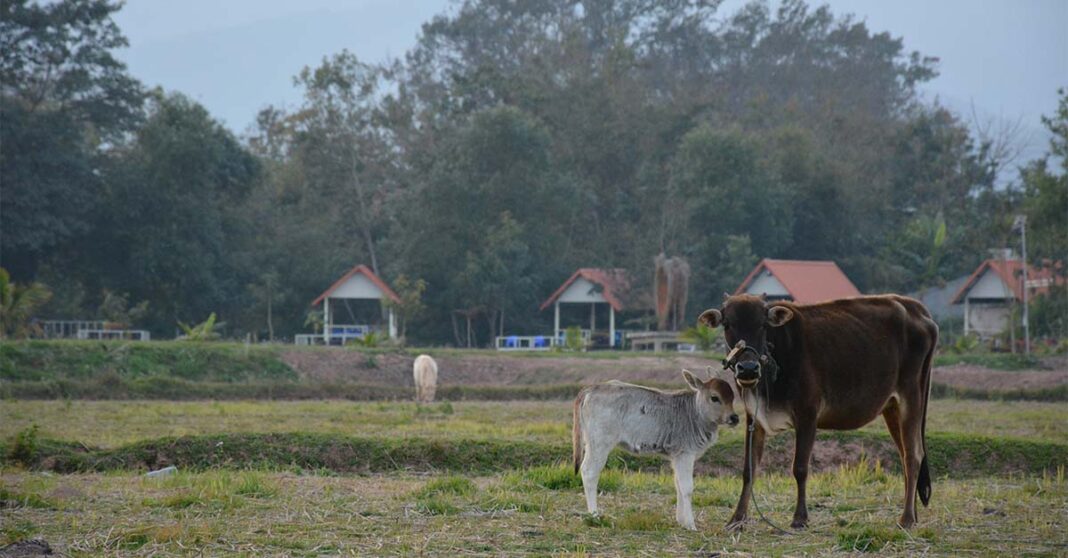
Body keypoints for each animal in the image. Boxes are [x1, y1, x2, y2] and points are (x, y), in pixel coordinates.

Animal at [572, 367, 739, 528]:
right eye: (714, 398)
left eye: (732, 396)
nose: (734, 418)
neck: (695, 414)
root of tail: (592, 388)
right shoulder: (685, 454)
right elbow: (687, 488)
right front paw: (691, 524)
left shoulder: (676, 456)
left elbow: (678, 484)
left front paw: (681, 521)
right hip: (599, 443)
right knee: (589, 472)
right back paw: (594, 515)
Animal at [700, 292, 935, 528]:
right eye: (727, 324)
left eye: (763, 324)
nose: (748, 369)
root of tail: (914, 306)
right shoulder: (754, 418)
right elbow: (749, 470)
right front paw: (737, 518)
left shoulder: (807, 414)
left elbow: (800, 468)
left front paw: (800, 518)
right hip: (892, 406)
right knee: (905, 455)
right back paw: (913, 515)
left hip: (911, 397)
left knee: (913, 456)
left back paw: (906, 518)